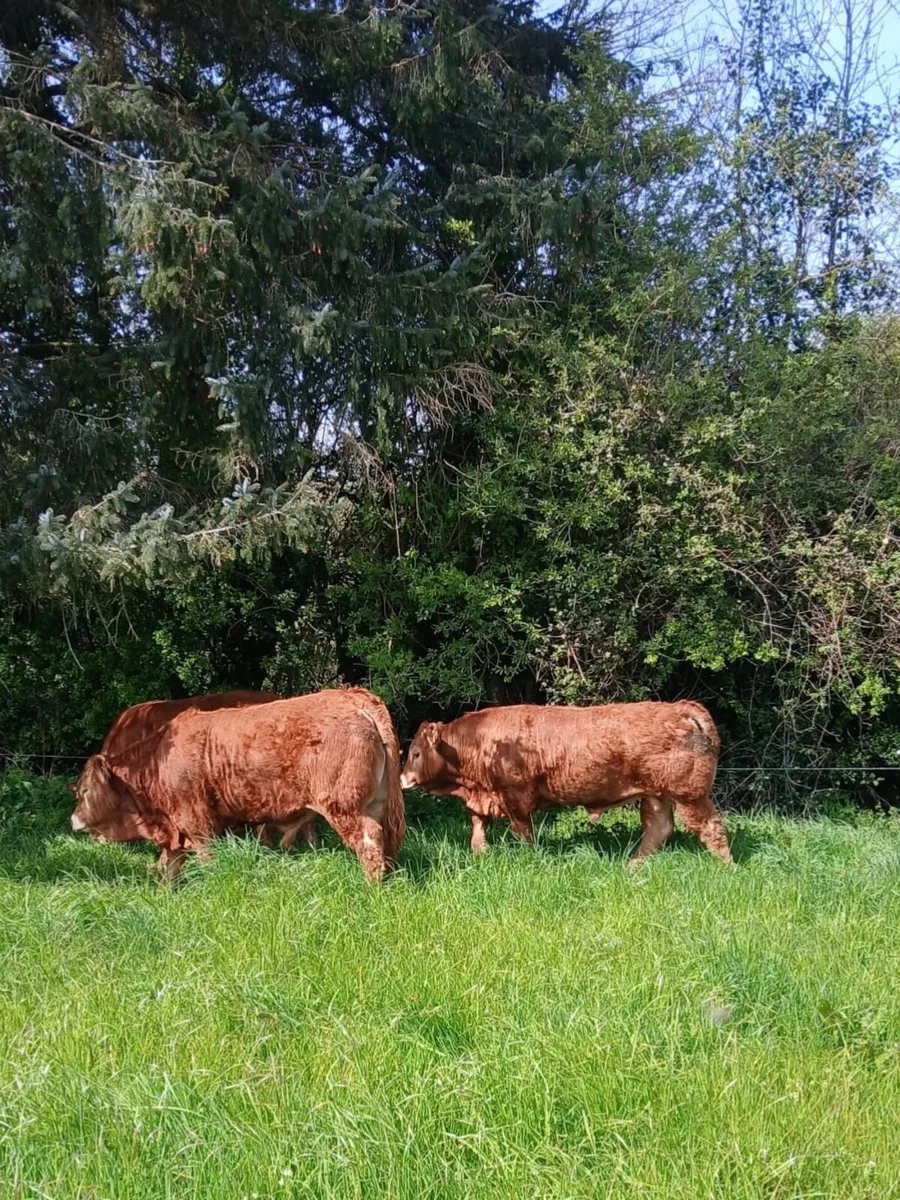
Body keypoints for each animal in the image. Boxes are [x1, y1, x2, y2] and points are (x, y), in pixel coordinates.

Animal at [400, 700, 731, 864]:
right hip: (656, 794)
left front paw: (529, 859)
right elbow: (478, 826)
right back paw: (633, 865)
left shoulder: (515, 796)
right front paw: (480, 853)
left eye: (415, 753)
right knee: (659, 828)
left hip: (689, 795)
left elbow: (524, 834)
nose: (402, 779)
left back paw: (726, 867)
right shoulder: (485, 797)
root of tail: (685, 708)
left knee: (711, 828)